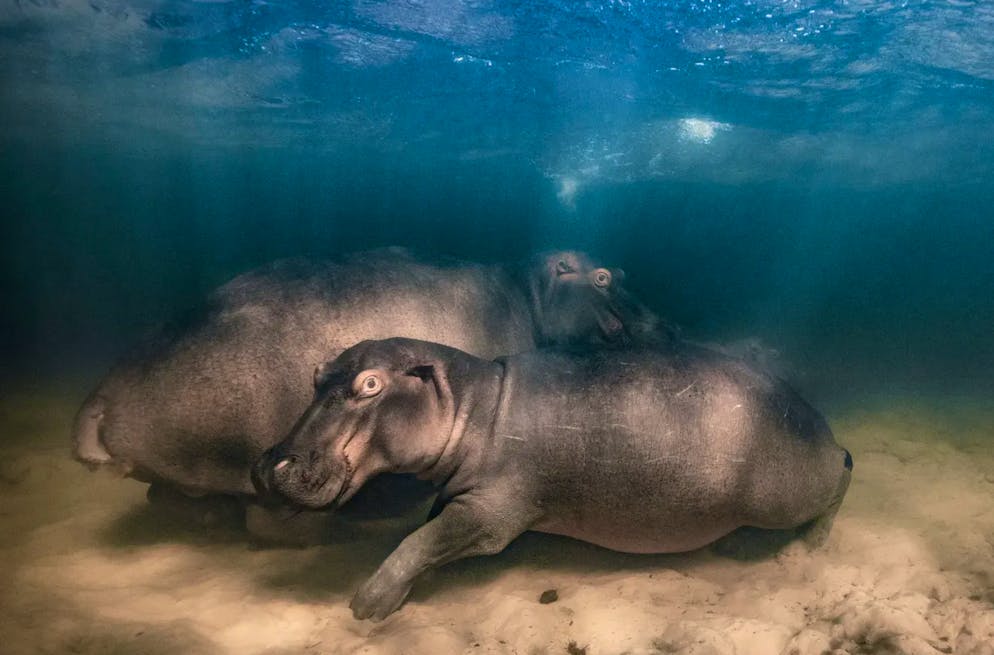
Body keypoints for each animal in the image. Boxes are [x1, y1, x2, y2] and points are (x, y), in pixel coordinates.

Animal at [71, 248, 667, 535]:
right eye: (604, 276)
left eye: (623, 271)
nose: (669, 327)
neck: (530, 293)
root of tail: (101, 399)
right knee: (270, 522)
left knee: (171, 497)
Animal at [254, 337, 852, 620]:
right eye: (316, 375)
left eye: (371, 384)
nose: (269, 464)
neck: (474, 404)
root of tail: (817, 419)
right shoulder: (458, 495)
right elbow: (425, 531)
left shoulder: (491, 514)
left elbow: (421, 541)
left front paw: (367, 604)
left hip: (786, 495)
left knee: (842, 473)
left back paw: (813, 546)